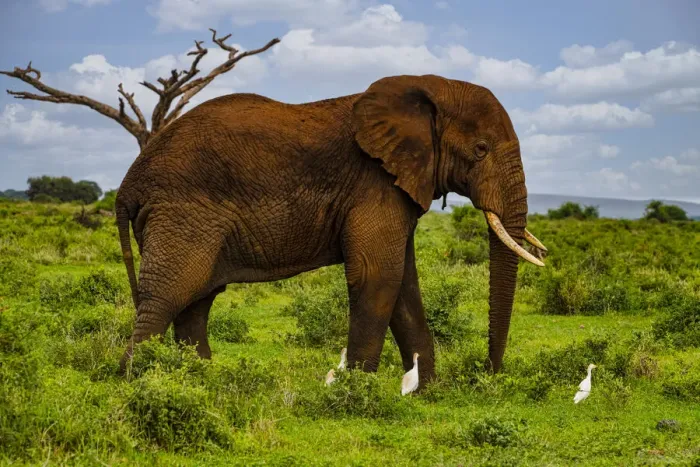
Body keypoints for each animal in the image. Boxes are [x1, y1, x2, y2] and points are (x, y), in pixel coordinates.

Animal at [115, 74, 546, 385]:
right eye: (480, 150)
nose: (487, 375)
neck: (425, 89)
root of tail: (127, 185)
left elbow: (404, 283)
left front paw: (427, 392)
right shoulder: (374, 182)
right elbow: (379, 275)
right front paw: (358, 393)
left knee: (195, 302)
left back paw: (200, 380)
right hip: (182, 212)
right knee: (169, 295)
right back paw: (137, 380)